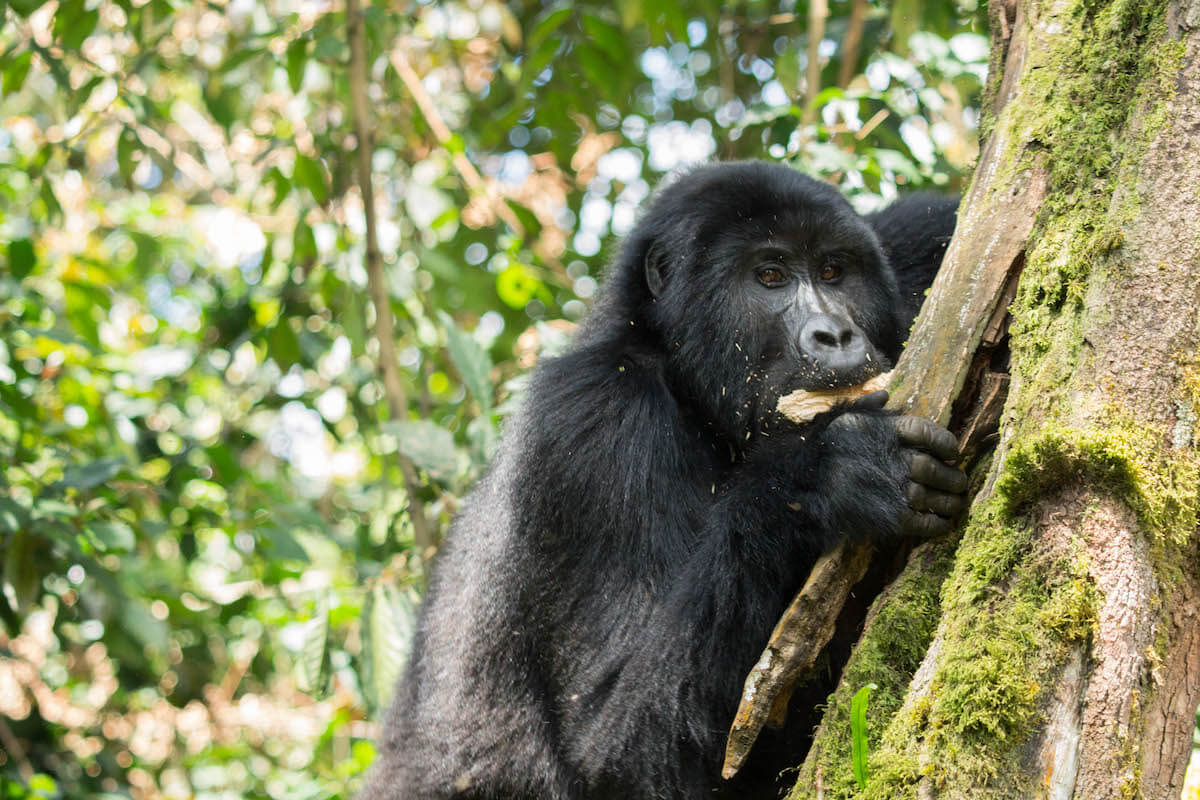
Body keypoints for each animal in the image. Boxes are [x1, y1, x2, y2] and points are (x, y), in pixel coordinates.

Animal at [362, 163, 964, 800]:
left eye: (834, 270)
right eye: (770, 276)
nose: (836, 335)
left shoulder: (905, 244)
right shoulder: (593, 420)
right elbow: (614, 753)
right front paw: (824, 475)